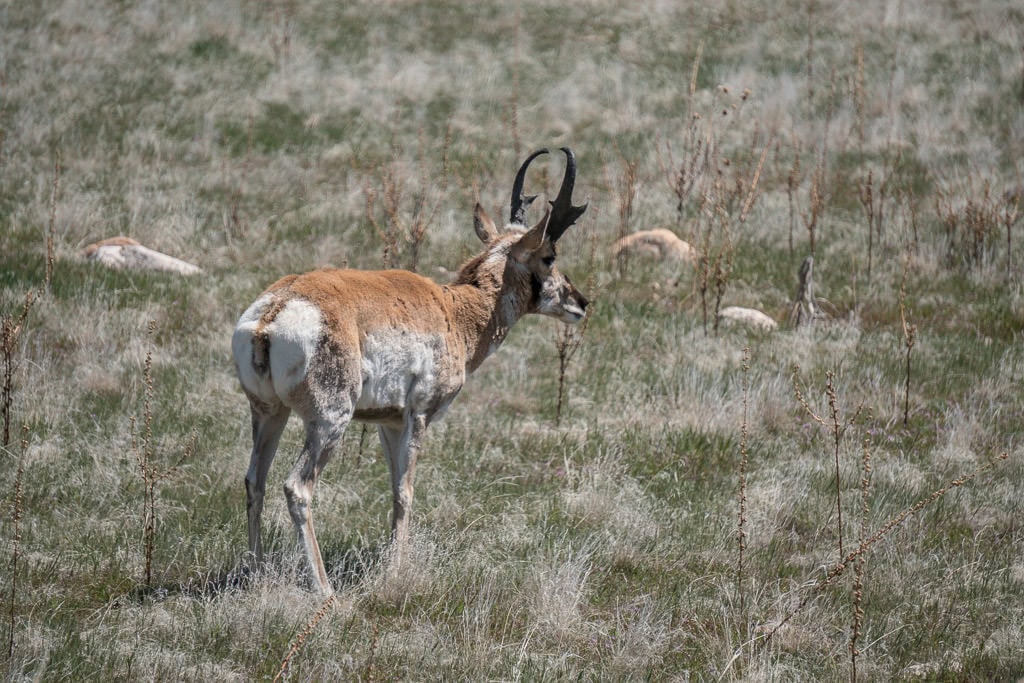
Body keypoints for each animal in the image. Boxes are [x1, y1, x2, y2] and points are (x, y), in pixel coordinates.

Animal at [229, 148, 589, 593]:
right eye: (549, 256)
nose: (581, 302)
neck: (455, 310)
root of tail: (274, 310)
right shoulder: (418, 416)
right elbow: (406, 491)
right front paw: (396, 573)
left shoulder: (389, 422)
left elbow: (392, 489)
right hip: (329, 422)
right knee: (297, 487)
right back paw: (325, 589)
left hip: (268, 413)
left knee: (254, 480)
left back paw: (256, 573)